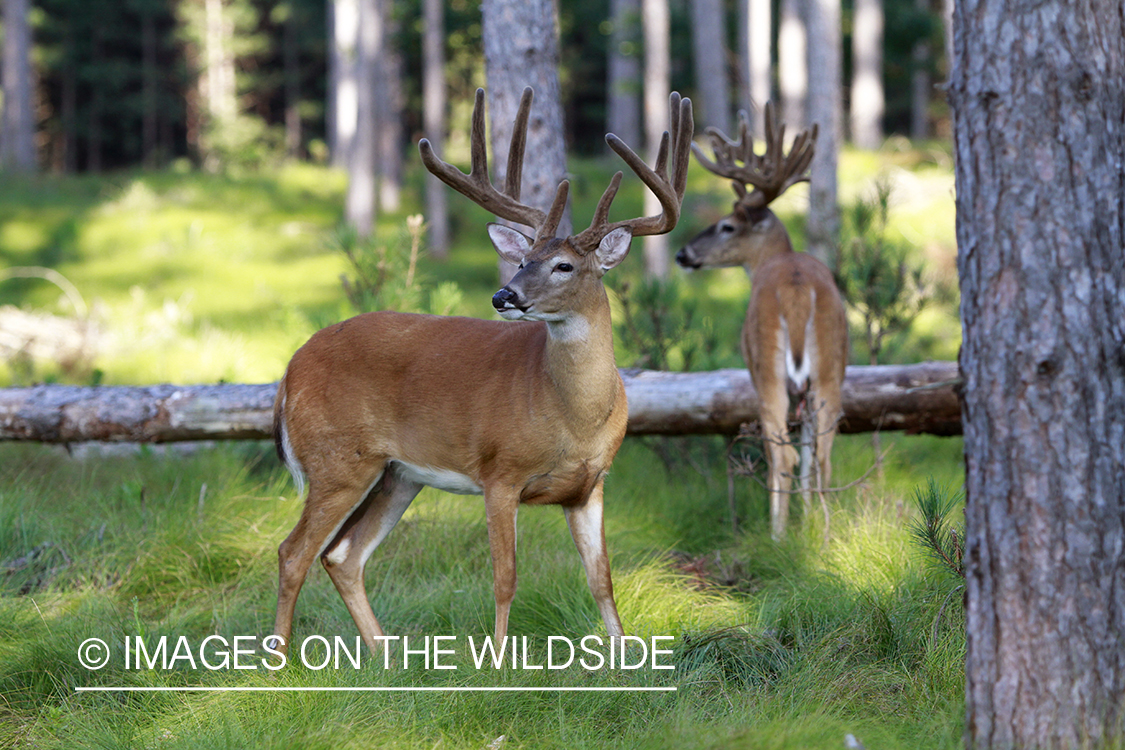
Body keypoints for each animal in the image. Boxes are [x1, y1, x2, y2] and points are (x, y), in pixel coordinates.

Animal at [270, 89, 693, 656]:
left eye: (563, 265)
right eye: (522, 259)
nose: (503, 296)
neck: (572, 417)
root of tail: (290, 370)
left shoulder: (592, 484)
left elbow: (602, 577)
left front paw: (624, 655)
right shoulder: (500, 471)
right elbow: (505, 577)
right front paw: (496, 660)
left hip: (397, 473)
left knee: (342, 555)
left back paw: (386, 655)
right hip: (336, 460)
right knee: (293, 552)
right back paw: (277, 660)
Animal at [675, 104, 846, 539]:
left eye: (727, 226)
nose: (683, 254)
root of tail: (798, 290)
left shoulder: (754, 368)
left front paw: (785, 527)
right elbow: (809, 453)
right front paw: (807, 519)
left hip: (767, 365)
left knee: (783, 454)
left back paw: (777, 536)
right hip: (831, 367)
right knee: (823, 452)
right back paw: (825, 534)